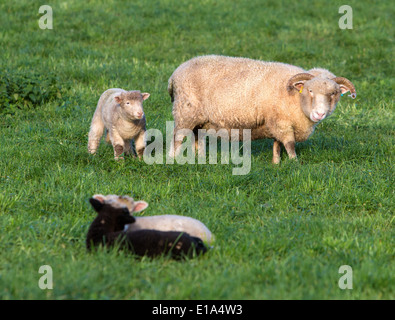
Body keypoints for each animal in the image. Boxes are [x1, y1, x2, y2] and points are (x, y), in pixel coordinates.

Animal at [169, 54, 358, 162]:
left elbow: (277, 145)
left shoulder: (277, 121)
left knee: (197, 138)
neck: (295, 98)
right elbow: (289, 144)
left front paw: (276, 163)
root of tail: (175, 74)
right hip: (185, 112)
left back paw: (200, 158)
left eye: (334, 93)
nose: (320, 113)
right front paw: (294, 162)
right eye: (310, 91)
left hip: (200, 119)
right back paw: (173, 159)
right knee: (177, 138)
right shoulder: (282, 123)